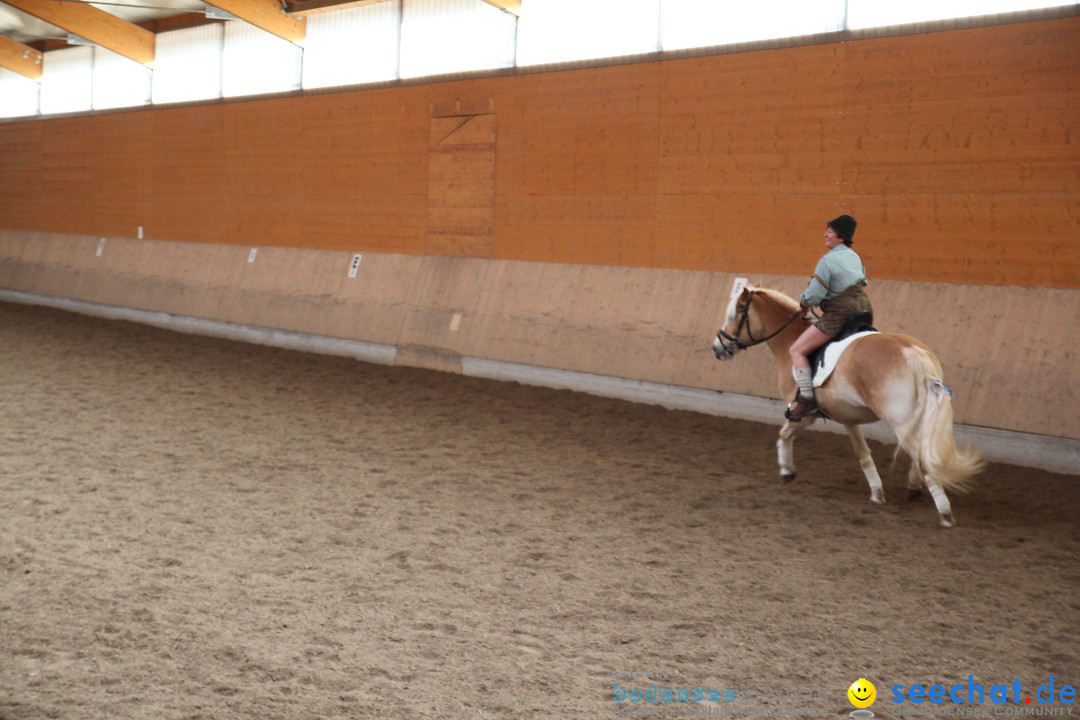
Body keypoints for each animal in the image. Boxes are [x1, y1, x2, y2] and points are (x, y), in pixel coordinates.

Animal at [712, 284, 984, 526]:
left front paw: (787, 471)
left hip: (900, 421)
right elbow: (862, 454)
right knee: (922, 453)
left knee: (921, 455)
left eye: (735, 315)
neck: (791, 340)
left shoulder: (804, 413)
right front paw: (876, 493)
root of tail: (911, 352)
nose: (717, 348)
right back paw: (915, 488)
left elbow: (784, 434)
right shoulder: (848, 418)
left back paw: (945, 513)